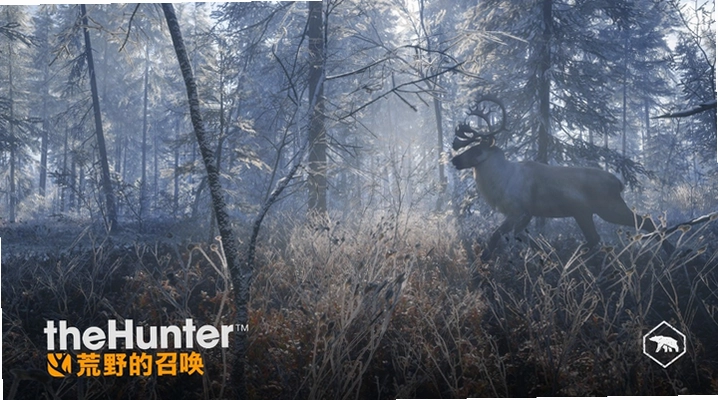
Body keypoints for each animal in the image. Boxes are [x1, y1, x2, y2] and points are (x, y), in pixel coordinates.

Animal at [451, 95, 673, 261]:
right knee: (598, 236)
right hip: (585, 212)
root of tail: (618, 183)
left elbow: (496, 235)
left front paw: (483, 262)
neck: (500, 181)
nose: (454, 160)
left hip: (606, 208)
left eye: (476, 149)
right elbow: (521, 237)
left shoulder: (518, 210)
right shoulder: (526, 214)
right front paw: (545, 255)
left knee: (642, 222)